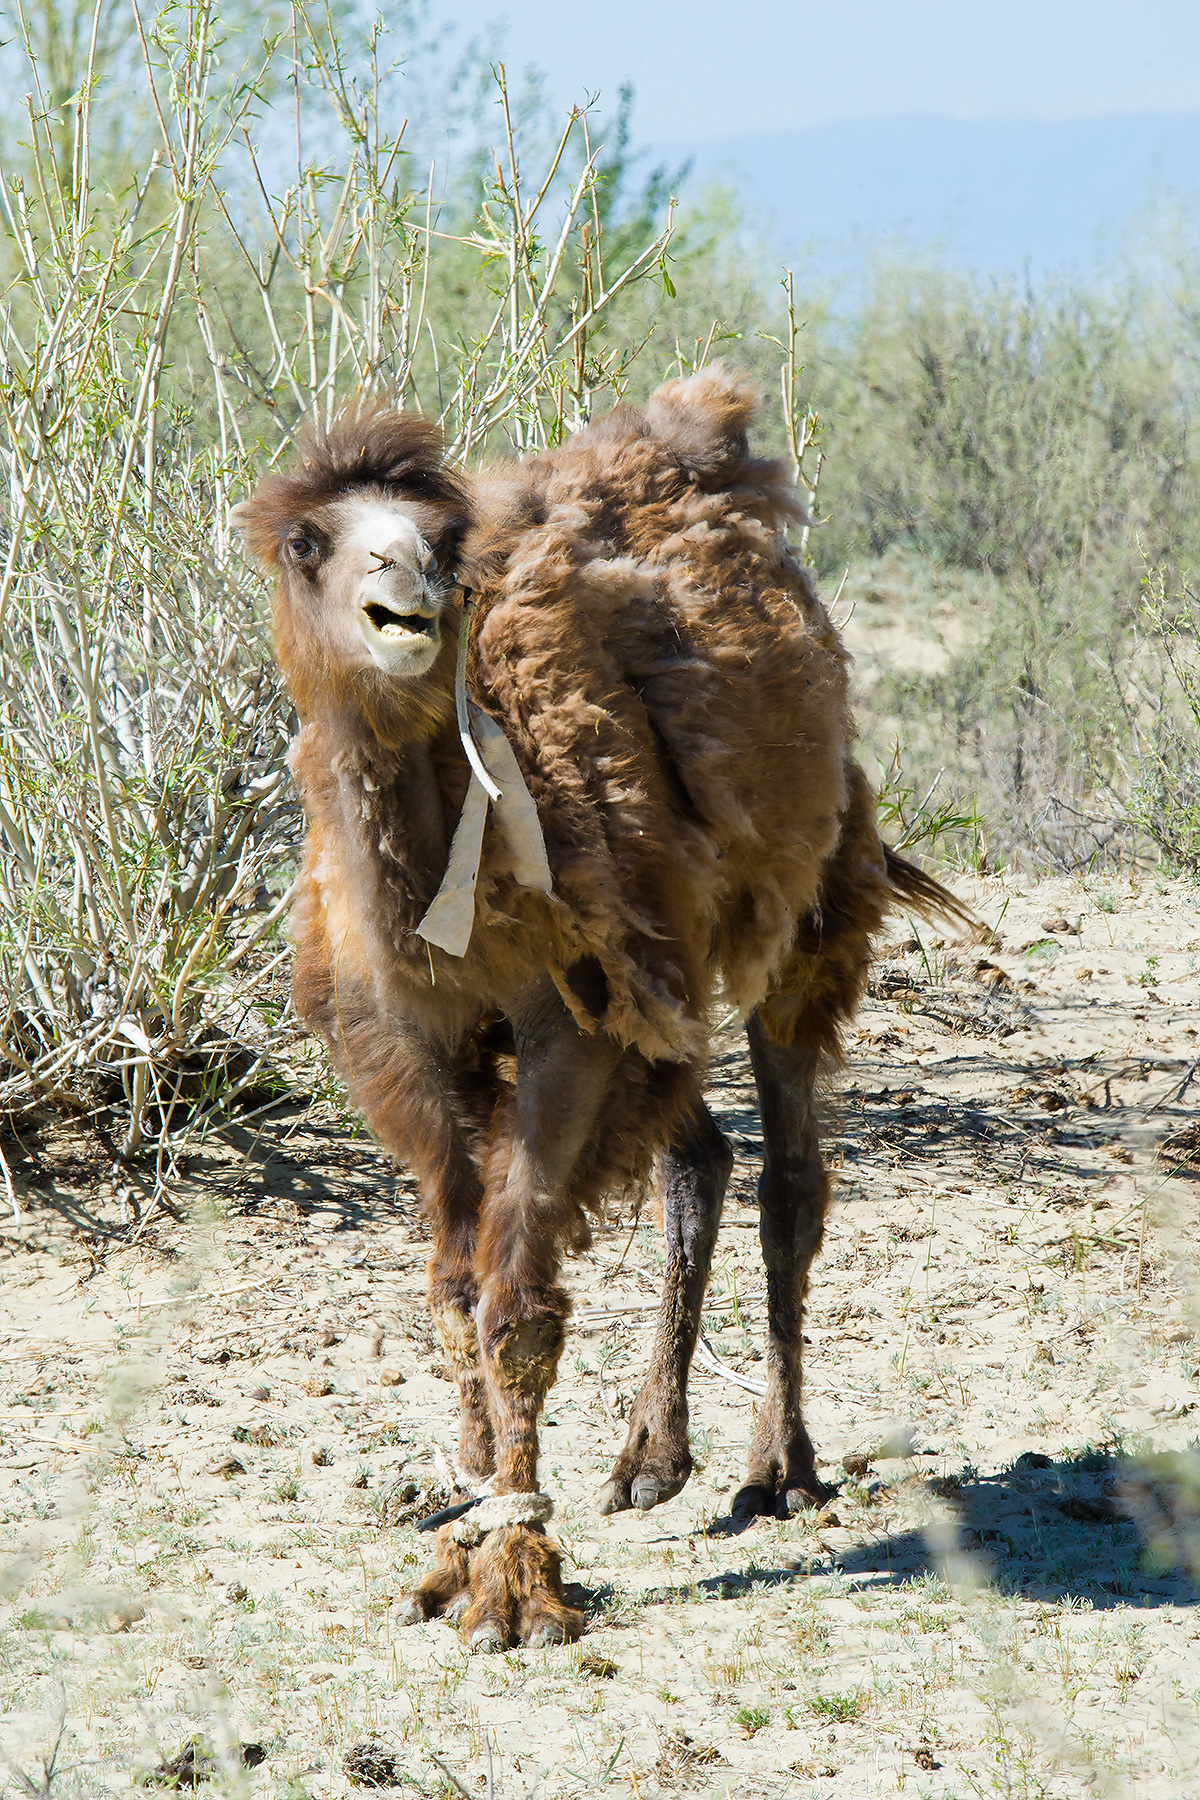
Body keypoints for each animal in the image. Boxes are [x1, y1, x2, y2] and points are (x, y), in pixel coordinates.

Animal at [232, 372, 964, 1648]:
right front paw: (464, 1520)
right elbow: (453, 1288)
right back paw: (649, 1456)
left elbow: (516, 1307)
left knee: (790, 1180)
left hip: (799, 911)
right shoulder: (408, 1048)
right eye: (309, 541)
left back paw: (778, 1468)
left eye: (445, 541)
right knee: (700, 1156)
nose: (408, 593)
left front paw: (515, 1583)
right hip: (660, 987)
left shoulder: (567, 1027)